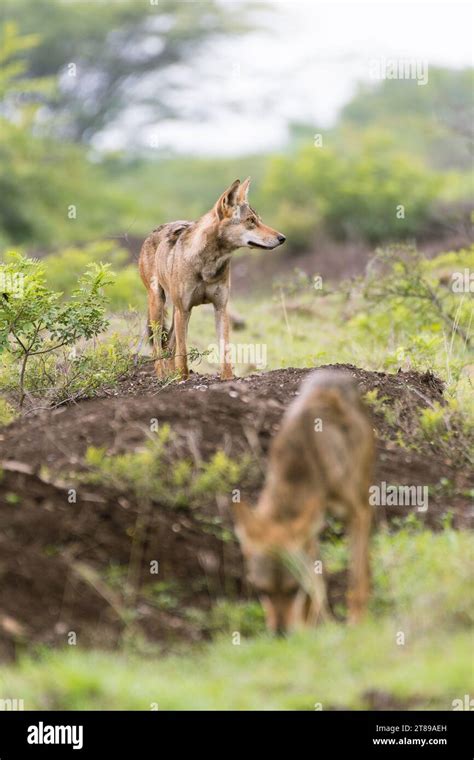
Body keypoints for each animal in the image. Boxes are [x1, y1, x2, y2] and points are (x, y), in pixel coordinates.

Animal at [137, 178, 286, 380]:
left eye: (259, 220)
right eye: (250, 221)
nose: (282, 238)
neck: (209, 263)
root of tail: (153, 231)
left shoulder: (220, 308)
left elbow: (225, 353)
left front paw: (227, 379)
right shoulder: (184, 310)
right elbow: (183, 354)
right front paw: (183, 380)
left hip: (178, 311)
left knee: (170, 344)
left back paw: (171, 375)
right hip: (160, 305)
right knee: (158, 348)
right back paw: (163, 376)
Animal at [233, 370, 374, 636]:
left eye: (292, 589)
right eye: (263, 591)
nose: (280, 634)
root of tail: (333, 372)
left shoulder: (356, 514)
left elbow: (356, 580)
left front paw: (357, 624)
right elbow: (314, 592)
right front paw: (312, 630)